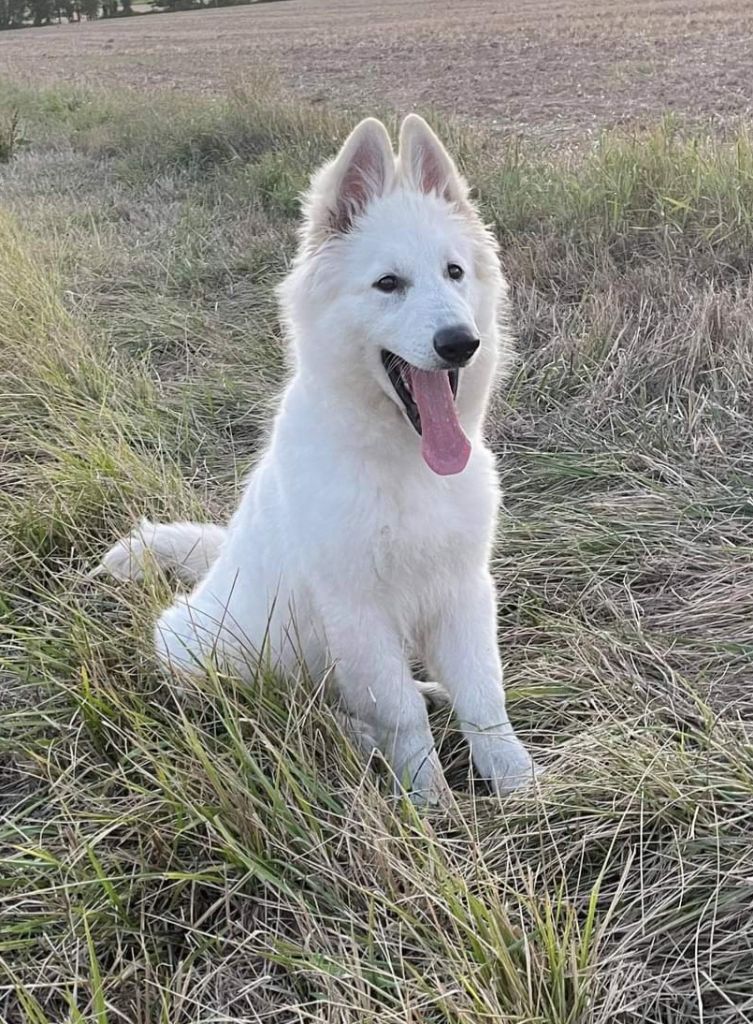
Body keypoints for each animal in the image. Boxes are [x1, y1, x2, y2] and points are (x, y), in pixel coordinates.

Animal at [100, 112, 536, 798]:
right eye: (388, 284)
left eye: (455, 273)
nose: (460, 343)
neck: (405, 463)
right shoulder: (357, 610)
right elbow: (399, 714)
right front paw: (429, 801)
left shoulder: (463, 590)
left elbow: (484, 700)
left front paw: (520, 787)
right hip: (200, 650)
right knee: (292, 704)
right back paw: (356, 737)